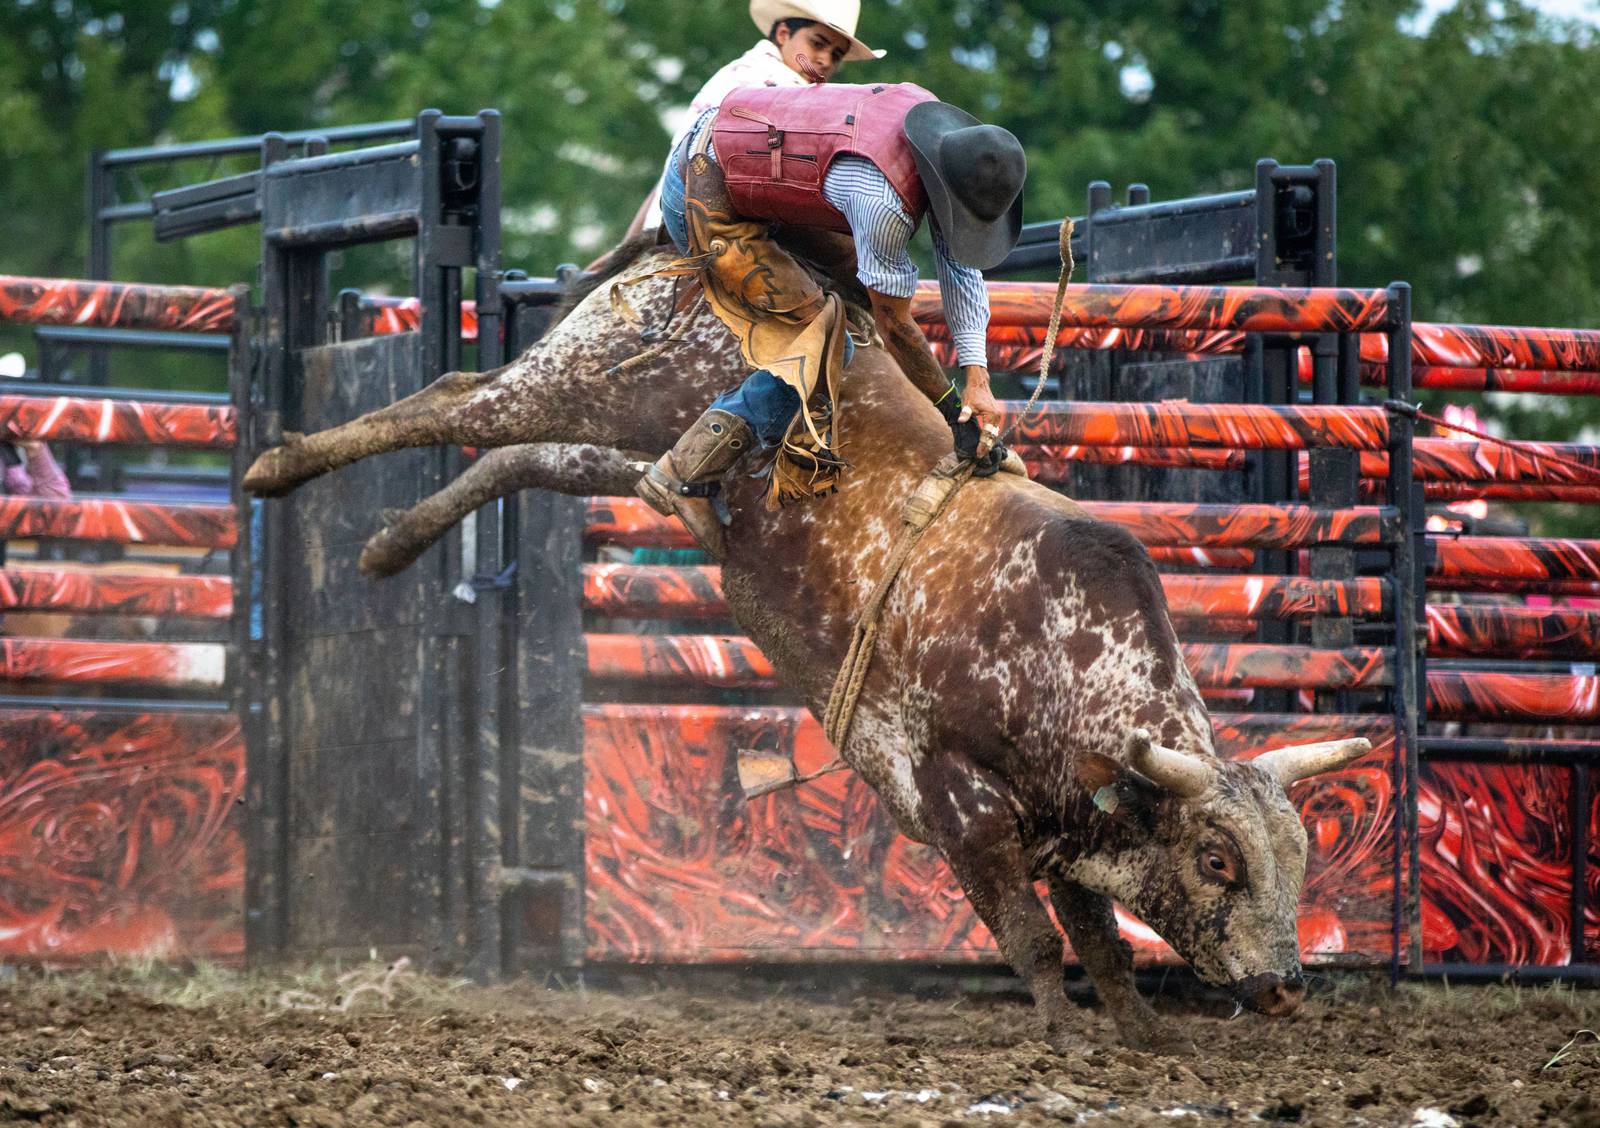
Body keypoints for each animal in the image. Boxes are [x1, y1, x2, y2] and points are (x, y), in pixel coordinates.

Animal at [243, 233, 1369, 1049]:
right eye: (1219, 860)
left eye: (1299, 855)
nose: (1284, 985)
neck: (1066, 659)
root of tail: (685, 252)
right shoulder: (951, 800)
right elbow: (1032, 937)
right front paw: (1062, 1032)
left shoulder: (1069, 828)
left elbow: (1100, 939)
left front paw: (1144, 1034)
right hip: (590, 374)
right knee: (456, 402)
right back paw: (276, 466)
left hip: (633, 452)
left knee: (512, 454)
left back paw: (389, 545)